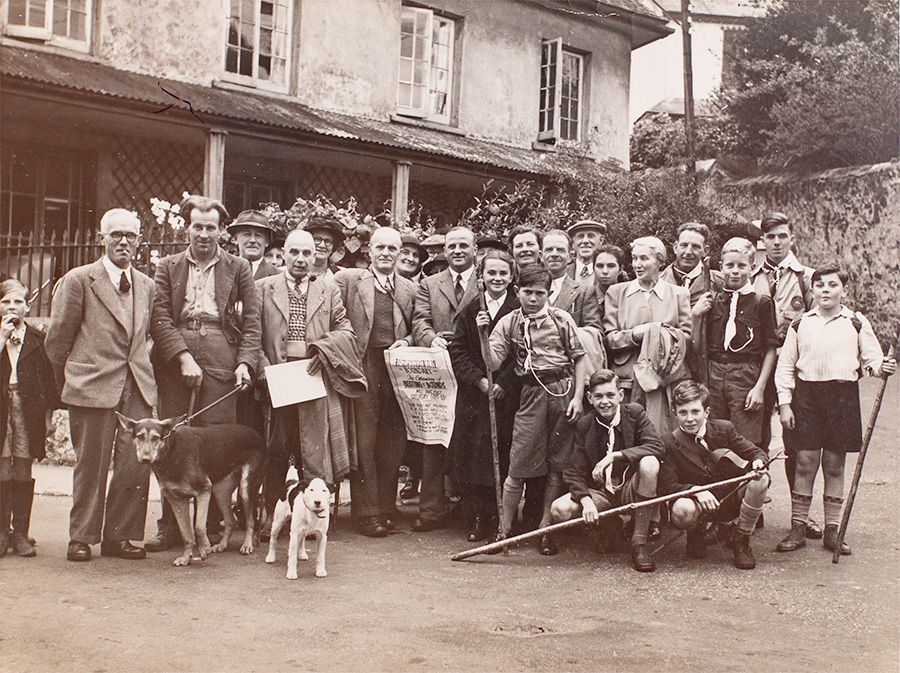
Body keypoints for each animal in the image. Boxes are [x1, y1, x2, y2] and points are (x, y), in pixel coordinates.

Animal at [115, 414, 268, 568]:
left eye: (156, 438)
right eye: (140, 437)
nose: (146, 459)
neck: (172, 451)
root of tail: (258, 435)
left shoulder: (204, 491)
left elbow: (199, 527)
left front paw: (204, 548)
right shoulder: (177, 500)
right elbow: (186, 533)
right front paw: (186, 557)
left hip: (246, 489)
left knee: (250, 521)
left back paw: (247, 545)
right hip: (220, 492)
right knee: (231, 520)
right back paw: (222, 545)